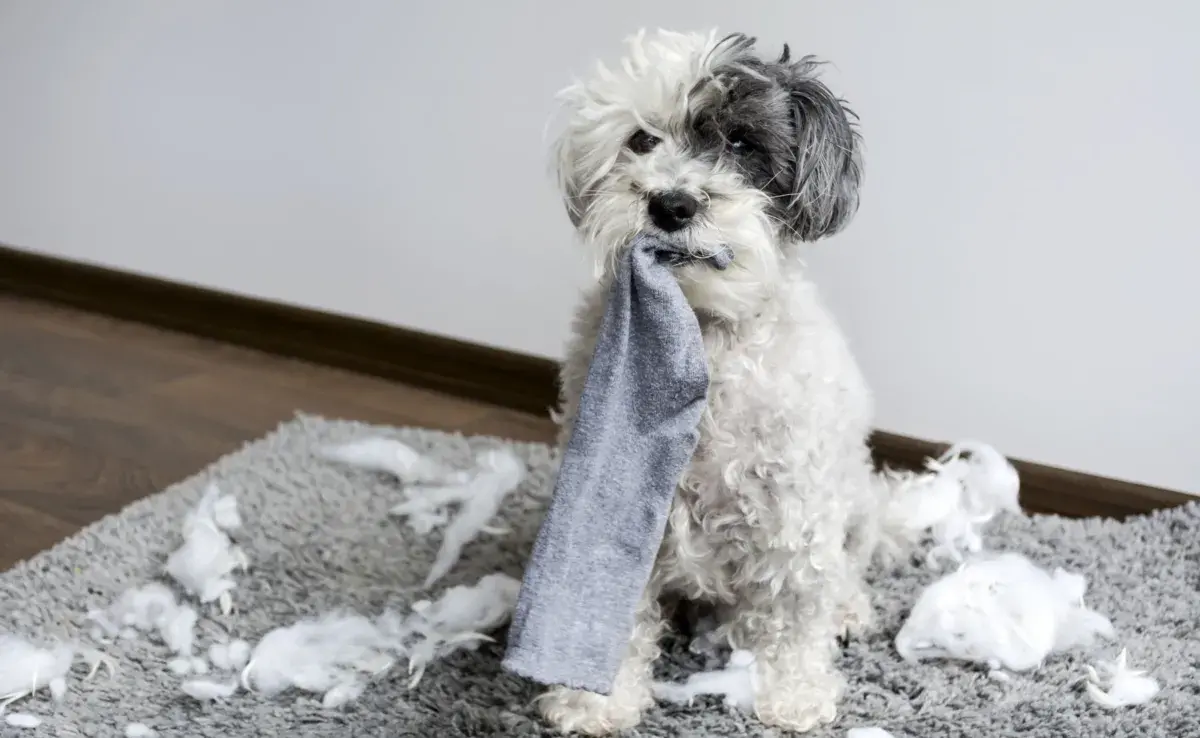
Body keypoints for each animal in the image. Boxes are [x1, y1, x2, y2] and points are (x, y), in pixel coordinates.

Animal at [537, 28, 902, 734]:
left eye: (739, 142)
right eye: (642, 140)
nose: (671, 203)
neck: (701, 334)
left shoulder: (795, 510)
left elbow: (794, 611)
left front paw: (793, 696)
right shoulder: (626, 506)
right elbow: (618, 611)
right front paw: (594, 703)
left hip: (855, 506)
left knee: (846, 573)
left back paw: (848, 611)